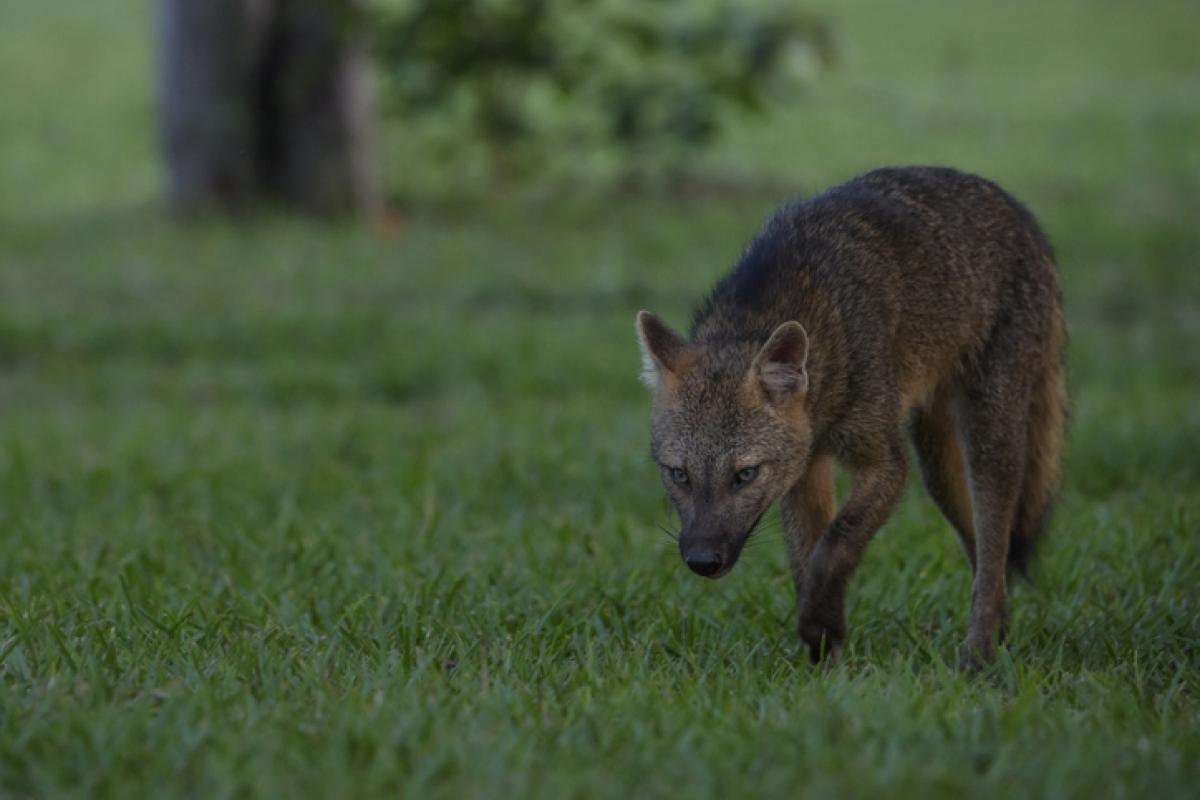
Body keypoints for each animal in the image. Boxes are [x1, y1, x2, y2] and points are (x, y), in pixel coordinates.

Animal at [636, 166, 1066, 669]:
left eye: (744, 474)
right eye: (678, 475)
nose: (703, 561)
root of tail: (1017, 208)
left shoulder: (886, 462)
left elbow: (836, 542)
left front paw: (821, 625)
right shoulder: (806, 471)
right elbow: (807, 560)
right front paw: (825, 661)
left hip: (986, 440)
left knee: (996, 550)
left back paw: (978, 656)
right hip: (938, 468)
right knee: (984, 557)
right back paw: (999, 635)